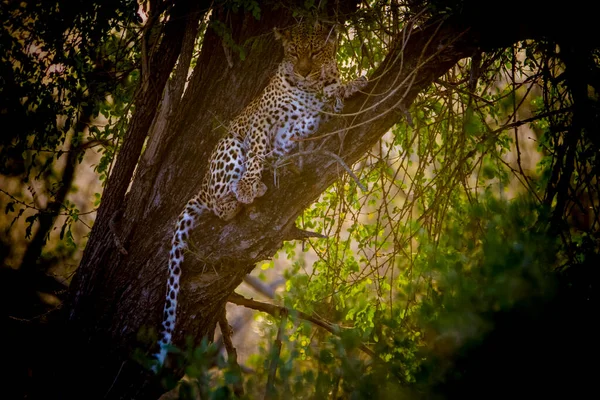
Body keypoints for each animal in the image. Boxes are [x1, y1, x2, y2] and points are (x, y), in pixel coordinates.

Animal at [155, 20, 368, 368]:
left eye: (315, 52)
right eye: (293, 52)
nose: (304, 72)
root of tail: (200, 187)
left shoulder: (314, 114)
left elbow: (328, 99)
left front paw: (351, 84)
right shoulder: (262, 122)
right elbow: (255, 151)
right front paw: (248, 186)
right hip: (228, 145)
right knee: (220, 201)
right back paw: (239, 196)